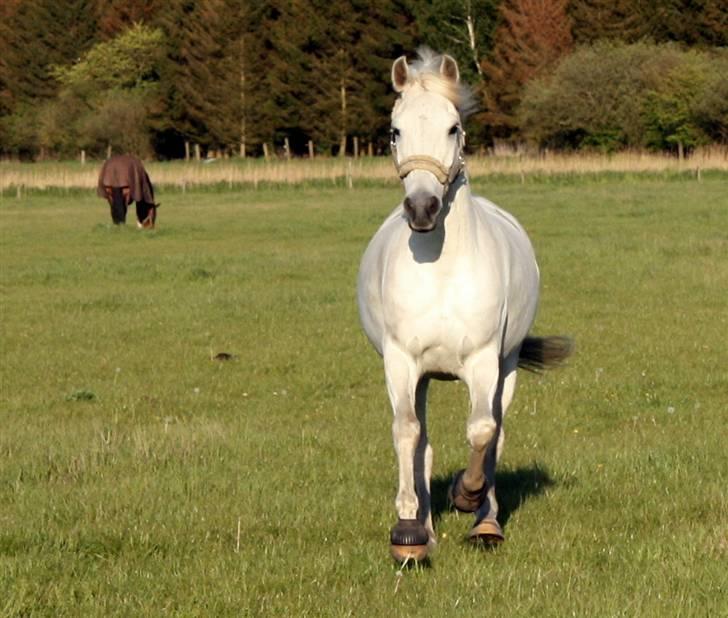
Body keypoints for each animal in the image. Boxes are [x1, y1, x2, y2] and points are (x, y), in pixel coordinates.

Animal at [356, 50, 572, 560]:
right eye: (395, 130)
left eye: (453, 127)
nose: (422, 209)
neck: (441, 270)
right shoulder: (401, 362)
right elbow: (408, 433)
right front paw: (409, 531)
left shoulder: (483, 361)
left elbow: (482, 432)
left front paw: (466, 495)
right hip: (421, 377)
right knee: (423, 440)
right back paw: (427, 526)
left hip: (506, 367)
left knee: (496, 433)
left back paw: (485, 522)